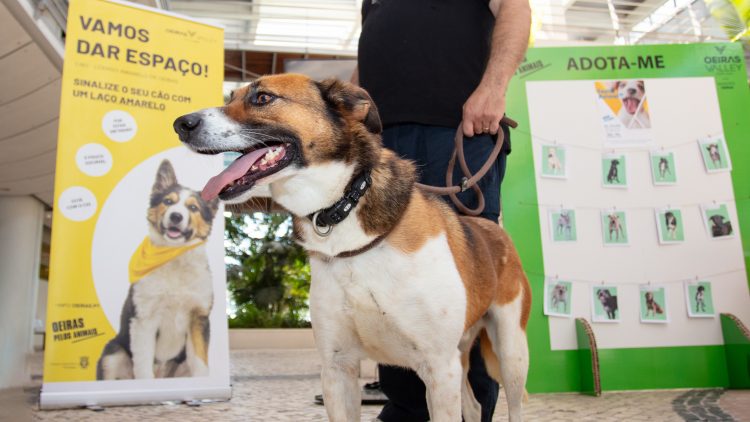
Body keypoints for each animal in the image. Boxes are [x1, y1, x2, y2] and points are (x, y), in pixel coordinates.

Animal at [97, 160, 217, 380]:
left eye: (193, 208)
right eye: (168, 202)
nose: (176, 216)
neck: (174, 260)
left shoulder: (198, 317)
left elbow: (200, 362)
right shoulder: (144, 319)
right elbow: (144, 365)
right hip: (113, 353)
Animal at [173, 75, 532, 422]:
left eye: (263, 98)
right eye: (230, 98)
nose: (181, 124)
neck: (344, 210)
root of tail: (493, 229)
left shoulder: (438, 366)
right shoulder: (337, 367)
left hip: (510, 351)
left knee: (513, 406)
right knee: (473, 406)